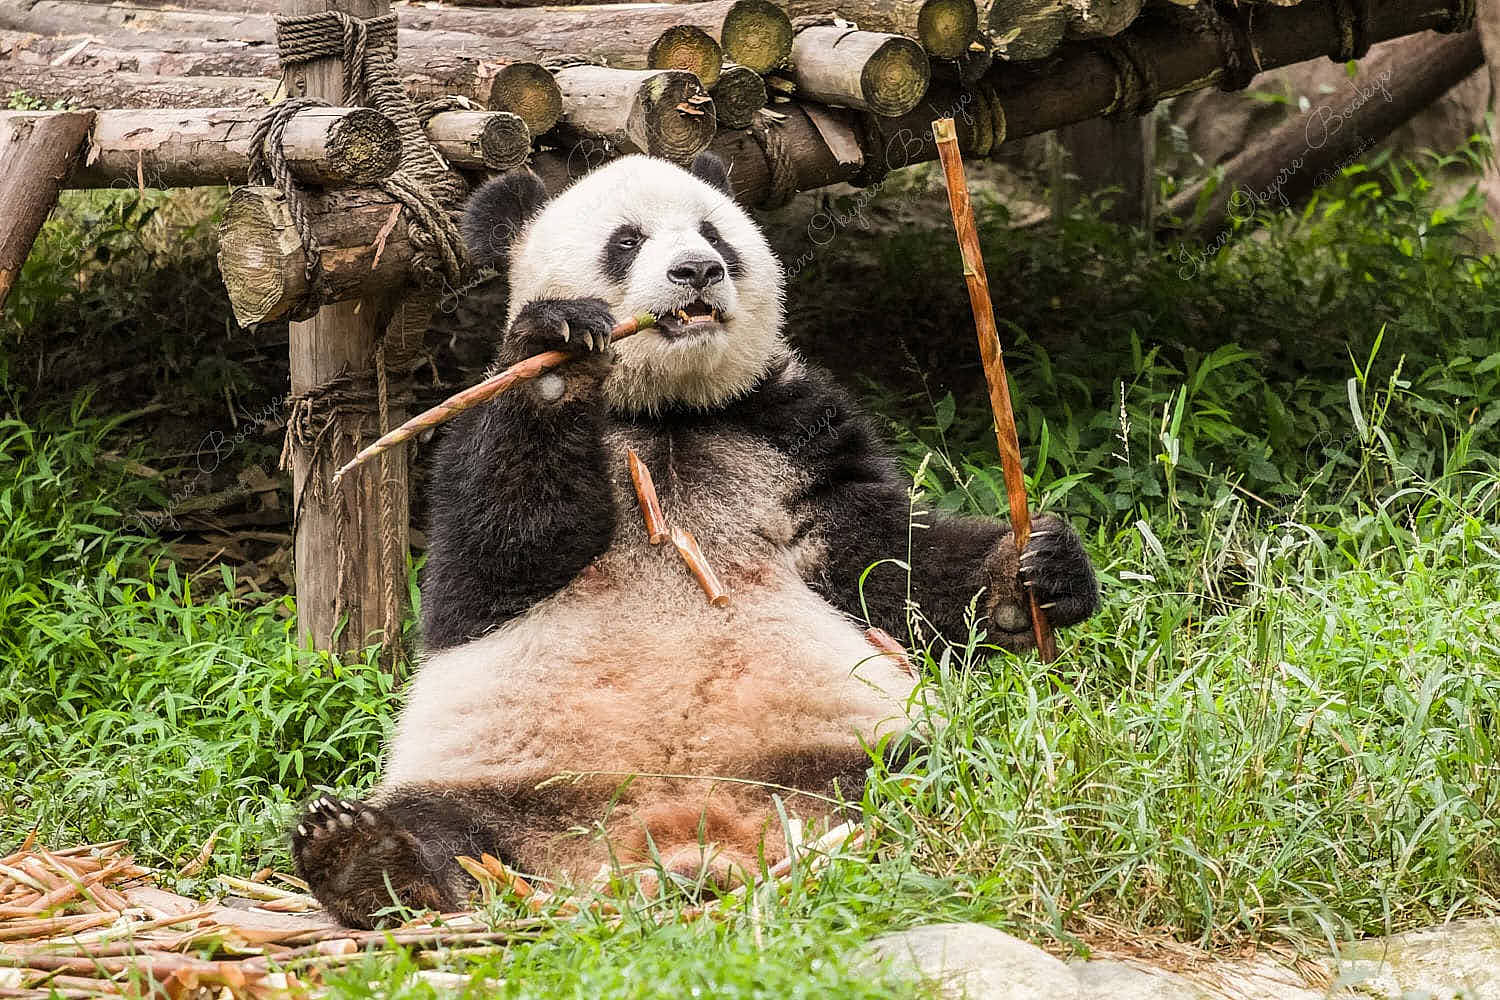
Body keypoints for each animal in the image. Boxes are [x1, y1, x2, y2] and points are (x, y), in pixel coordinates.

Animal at [291, 152, 1101, 928]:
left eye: (715, 234)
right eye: (626, 241)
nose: (698, 271)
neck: (671, 410)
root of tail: (682, 835)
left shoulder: (792, 429)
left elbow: (882, 561)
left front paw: (1035, 571)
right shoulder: (466, 446)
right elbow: (501, 544)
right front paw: (559, 346)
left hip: (854, 745)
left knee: (955, 771)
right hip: (505, 776)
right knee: (445, 824)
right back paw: (365, 857)